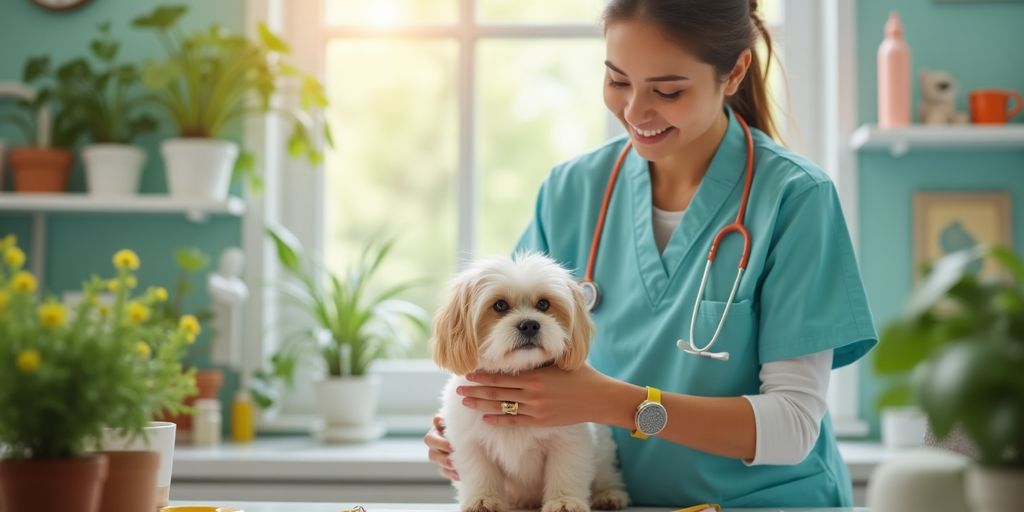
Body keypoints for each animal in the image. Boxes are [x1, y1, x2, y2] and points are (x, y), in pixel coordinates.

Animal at [430, 252, 626, 512]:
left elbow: (566, 471)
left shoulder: (568, 442)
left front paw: (564, 501)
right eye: (500, 305)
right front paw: (483, 499)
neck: (516, 375)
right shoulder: (471, 443)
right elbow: (480, 473)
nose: (530, 324)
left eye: (543, 304)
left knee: (606, 474)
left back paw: (608, 495)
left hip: (603, 451)